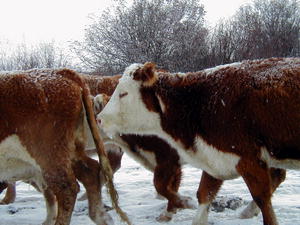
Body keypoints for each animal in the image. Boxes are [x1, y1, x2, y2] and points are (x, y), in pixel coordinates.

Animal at [0, 68, 128, 225]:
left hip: (49, 154)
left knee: (68, 188)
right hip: (68, 151)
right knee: (91, 171)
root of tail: (62, 72)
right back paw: (101, 216)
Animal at [98, 58, 300, 225]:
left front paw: (179, 205)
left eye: (123, 94)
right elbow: (203, 193)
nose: (100, 119)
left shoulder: (247, 159)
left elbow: (263, 199)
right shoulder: (214, 157)